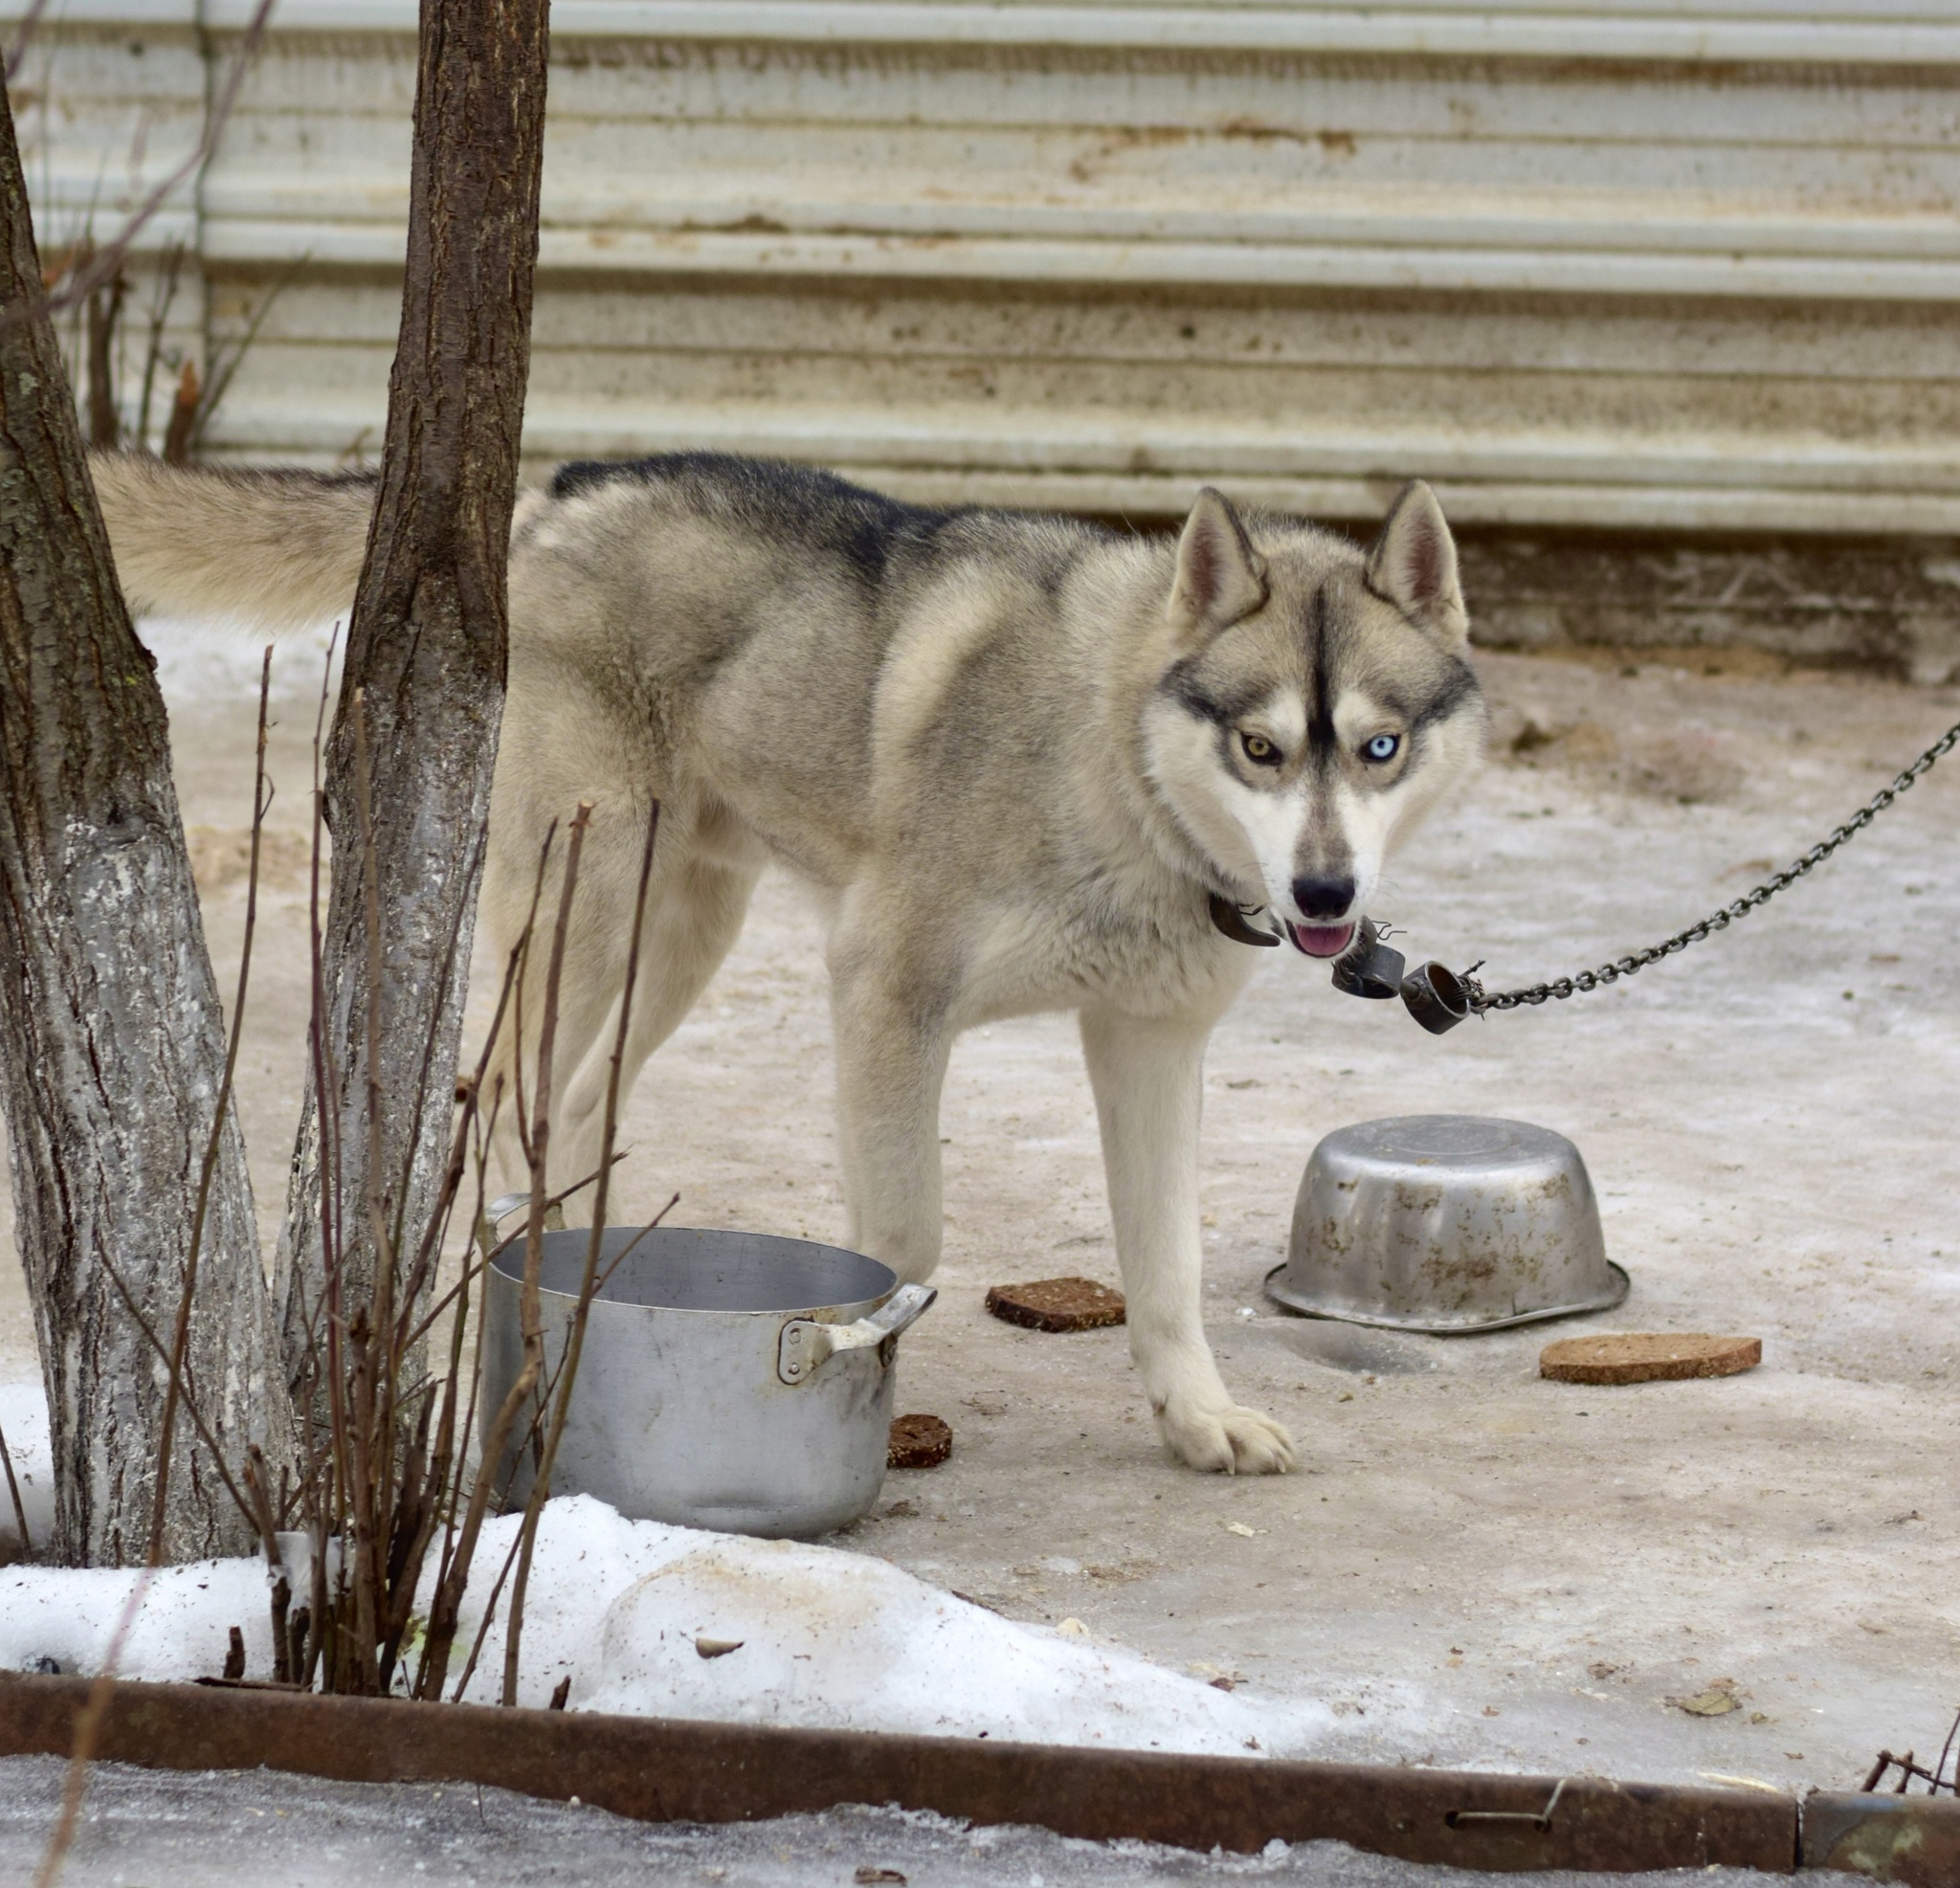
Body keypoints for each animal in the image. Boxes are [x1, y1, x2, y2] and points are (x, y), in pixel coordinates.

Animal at [84, 455, 1474, 1474]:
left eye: (1380, 747)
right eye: (1258, 747)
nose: (1327, 894)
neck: (1109, 761)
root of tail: (553, 498)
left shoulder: (1149, 1045)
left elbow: (1168, 1273)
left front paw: (1195, 1420)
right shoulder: (885, 1000)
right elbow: (907, 1243)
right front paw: (862, 1384)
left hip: (678, 942)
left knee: (569, 1121)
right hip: (585, 926)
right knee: (489, 1125)